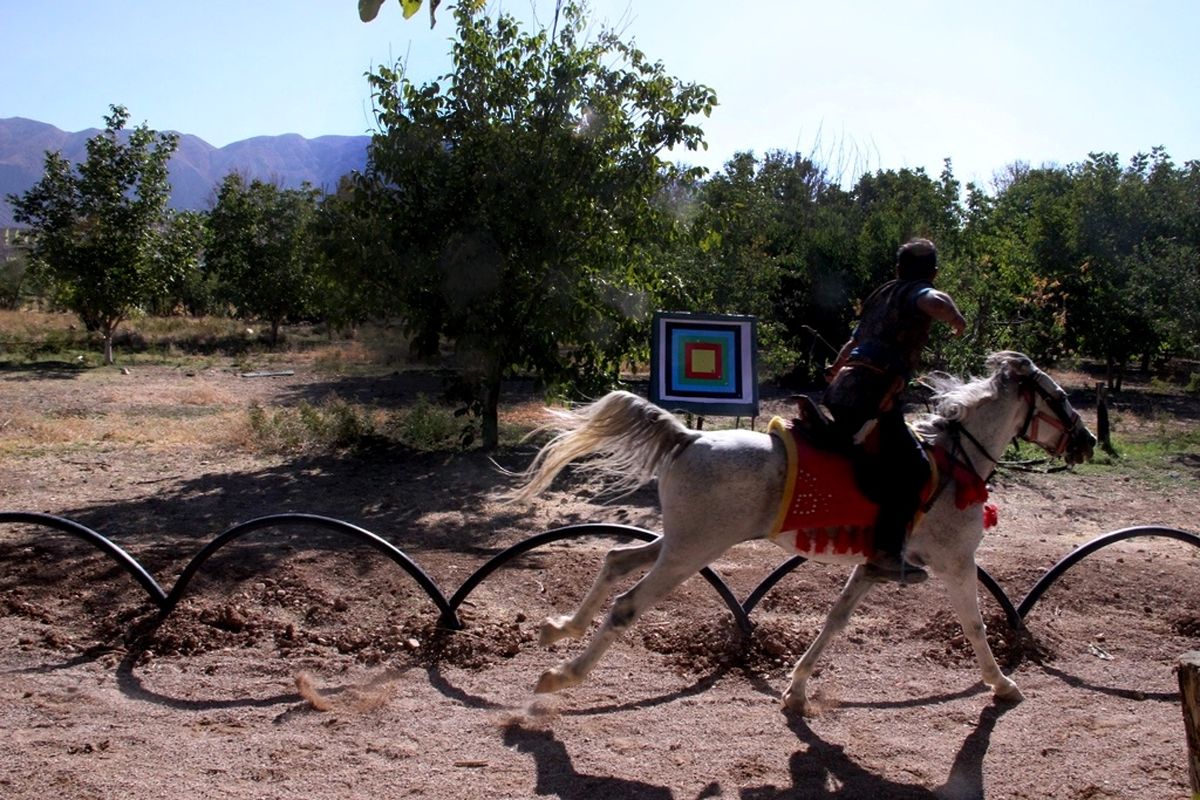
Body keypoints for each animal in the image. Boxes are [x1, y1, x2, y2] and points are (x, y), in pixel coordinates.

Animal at [506, 350, 1099, 714]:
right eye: (1061, 397)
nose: (1088, 441)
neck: (954, 463)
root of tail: (688, 438)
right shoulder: (956, 562)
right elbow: (975, 626)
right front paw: (1002, 684)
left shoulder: (872, 567)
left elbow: (834, 622)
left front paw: (795, 688)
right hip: (691, 551)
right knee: (627, 605)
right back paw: (561, 675)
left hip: (680, 545)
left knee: (615, 560)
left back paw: (558, 630)